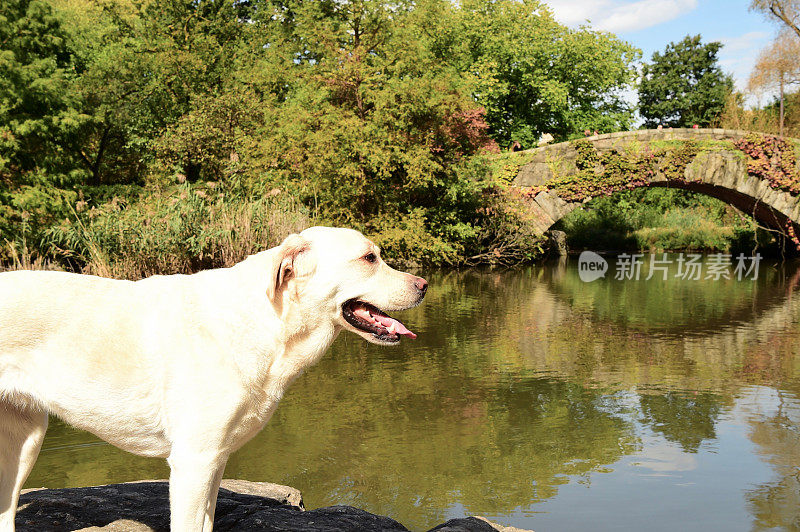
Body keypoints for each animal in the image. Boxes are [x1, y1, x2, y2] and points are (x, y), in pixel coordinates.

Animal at [0, 225, 424, 532]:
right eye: (369, 258)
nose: (423, 285)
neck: (266, 321)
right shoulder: (193, 461)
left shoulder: (214, 460)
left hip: (23, 442)